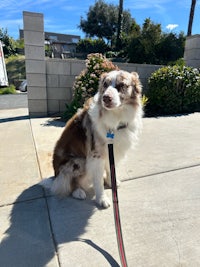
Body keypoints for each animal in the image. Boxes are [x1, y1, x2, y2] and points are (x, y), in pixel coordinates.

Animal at [41, 70, 142, 209]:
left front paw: (111, 182)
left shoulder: (111, 151)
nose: (106, 98)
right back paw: (78, 192)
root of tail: (55, 177)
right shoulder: (96, 156)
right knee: (70, 182)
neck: (116, 118)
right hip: (79, 161)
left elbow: (110, 169)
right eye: (105, 85)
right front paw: (101, 199)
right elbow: (98, 181)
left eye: (121, 85)